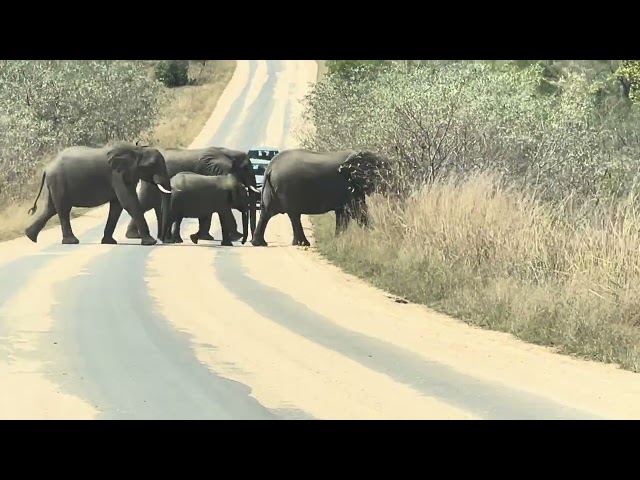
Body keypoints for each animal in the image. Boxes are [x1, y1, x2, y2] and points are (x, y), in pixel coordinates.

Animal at [24, 143, 174, 246]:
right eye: (152, 165)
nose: (164, 240)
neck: (136, 149)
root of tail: (47, 168)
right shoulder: (117, 175)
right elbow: (128, 201)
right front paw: (150, 243)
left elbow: (117, 206)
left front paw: (109, 242)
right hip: (58, 182)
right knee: (63, 209)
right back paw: (71, 242)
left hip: (54, 184)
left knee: (51, 209)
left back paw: (30, 237)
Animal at [124, 146, 260, 242]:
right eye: (246, 168)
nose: (251, 240)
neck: (228, 152)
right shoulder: (211, 172)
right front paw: (236, 237)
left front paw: (206, 237)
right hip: (150, 183)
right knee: (145, 203)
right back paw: (134, 236)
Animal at [251, 148, 388, 247]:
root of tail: (270, 168)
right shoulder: (349, 187)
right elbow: (357, 211)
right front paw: (376, 237)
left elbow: (344, 214)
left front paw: (337, 240)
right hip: (287, 188)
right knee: (293, 215)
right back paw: (303, 244)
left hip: (272, 189)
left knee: (267, 213)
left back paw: (259, 244)